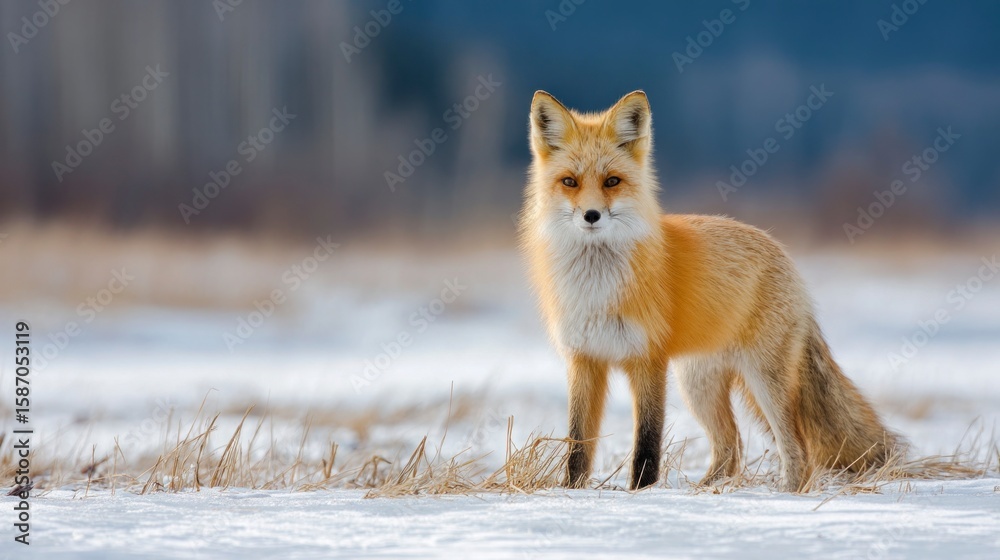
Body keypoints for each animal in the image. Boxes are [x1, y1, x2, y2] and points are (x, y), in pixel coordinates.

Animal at [517, 90, 902, 492]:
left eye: (611, 181)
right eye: (570, 182)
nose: (591, 215)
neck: (597, 287)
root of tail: (784, 254)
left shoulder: (648, 360)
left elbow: (647, 442)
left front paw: (642, 493)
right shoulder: (583, 360)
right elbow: (578, 444)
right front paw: (570, 492)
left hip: (764, 380)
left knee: (796, 447)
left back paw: (787, 495)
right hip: (698, 386)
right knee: (731, 445)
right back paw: (708, 490)